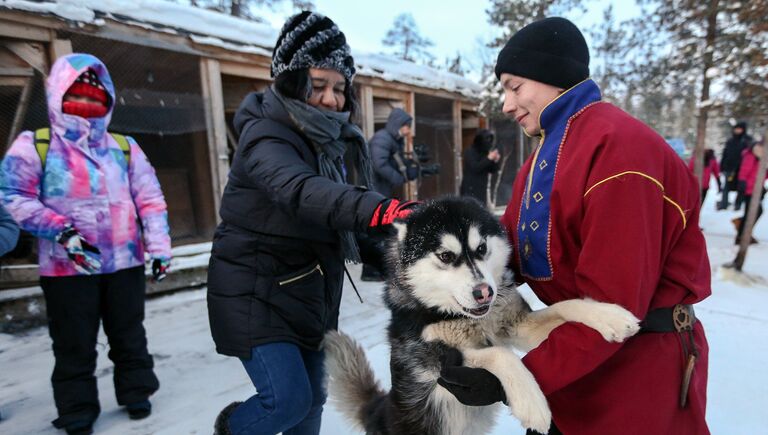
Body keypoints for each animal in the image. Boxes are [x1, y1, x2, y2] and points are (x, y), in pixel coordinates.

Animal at [326, 198, 640, 435]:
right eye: (445, 256)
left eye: (481, 248)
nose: (484, 293)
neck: (466, 318)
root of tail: (376, 411)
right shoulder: (438, 359)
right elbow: (501, 355)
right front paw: (532, 403)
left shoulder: (519, 324)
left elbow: (567, 304)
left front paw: (609, 316)